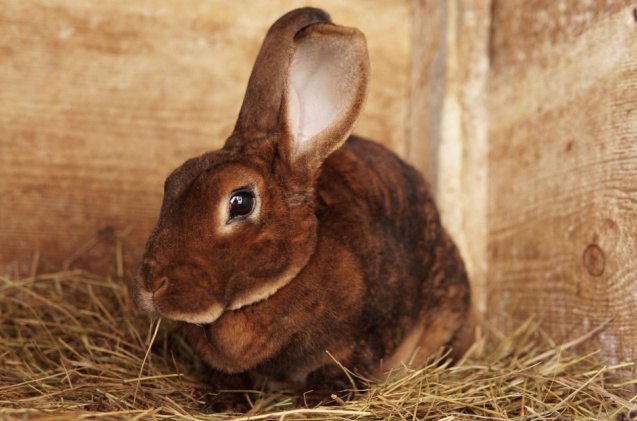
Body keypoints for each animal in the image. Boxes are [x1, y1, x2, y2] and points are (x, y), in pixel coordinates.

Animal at [133, 5, 472, 406]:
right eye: (171, 182)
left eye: (240, 202)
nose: (152, 284)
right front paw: (227, 401)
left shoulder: (365, 336)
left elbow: (342, 368)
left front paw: (318, 400)